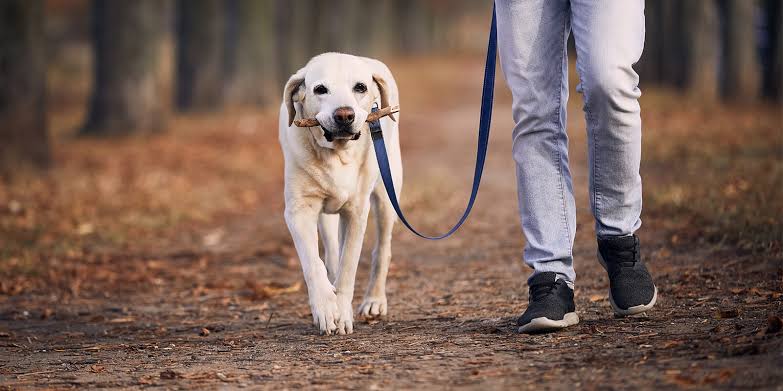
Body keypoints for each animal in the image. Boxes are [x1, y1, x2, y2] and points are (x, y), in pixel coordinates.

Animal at [280, 52, 404, 336]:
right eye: (320, 89)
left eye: (360, 87)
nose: (344, 115)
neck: (336, 154)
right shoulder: (299, 211)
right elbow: (313, 263)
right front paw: (326, 309)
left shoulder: (356, 212)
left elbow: (349, 267)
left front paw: (343, 312)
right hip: (326, 216)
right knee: (330, 253)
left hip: (387, 194)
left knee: (382, 250)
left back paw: (374, 301)